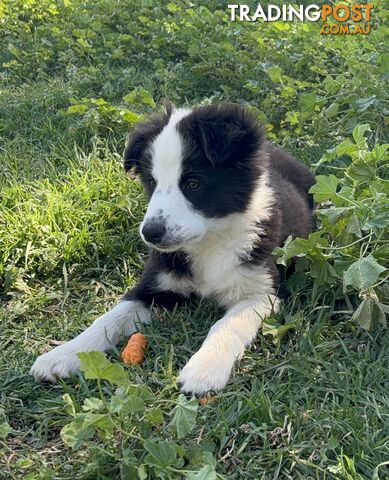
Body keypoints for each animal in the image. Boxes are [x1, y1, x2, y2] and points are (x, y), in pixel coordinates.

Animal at [31, 103, 316, 396]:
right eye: (151, 182)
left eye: (193, 184)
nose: (150, 233)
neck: (209, 241)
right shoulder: (153, 286)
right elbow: (108, 319)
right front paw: (65, 354)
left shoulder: (262, 292)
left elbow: (227, 325)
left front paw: (204, 369)